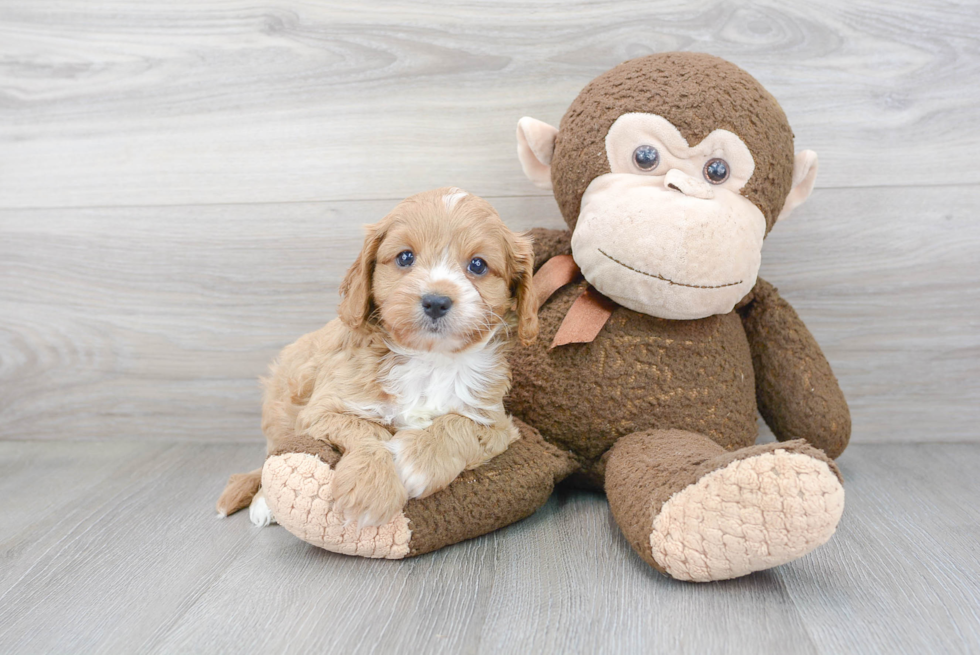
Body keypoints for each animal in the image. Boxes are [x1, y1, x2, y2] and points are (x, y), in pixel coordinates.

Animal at [216, 188, 536, 528]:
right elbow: (366, 429)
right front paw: (370, 489)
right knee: (273, 455)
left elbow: (459, 424)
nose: (436, 301)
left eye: (478, 265)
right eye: (405, 257)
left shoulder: (498, 423)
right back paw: (264, 502)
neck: (427, 358)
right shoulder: (321, 411)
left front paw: (415, 462)